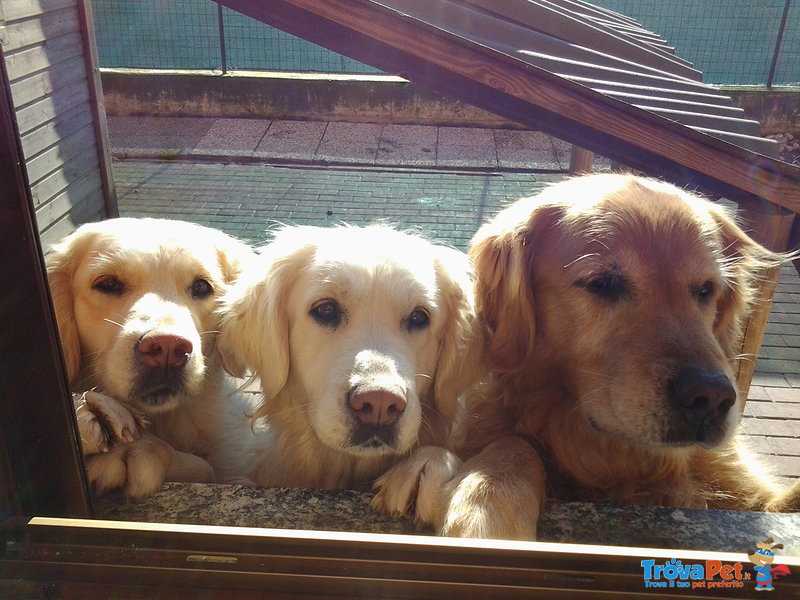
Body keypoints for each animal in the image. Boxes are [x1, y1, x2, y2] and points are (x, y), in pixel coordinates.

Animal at [48, 218, 255, 494]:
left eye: (202, 286)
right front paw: (88, 412)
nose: (168, 348)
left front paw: (137, 447)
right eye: (108, 284)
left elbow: (205, 467)